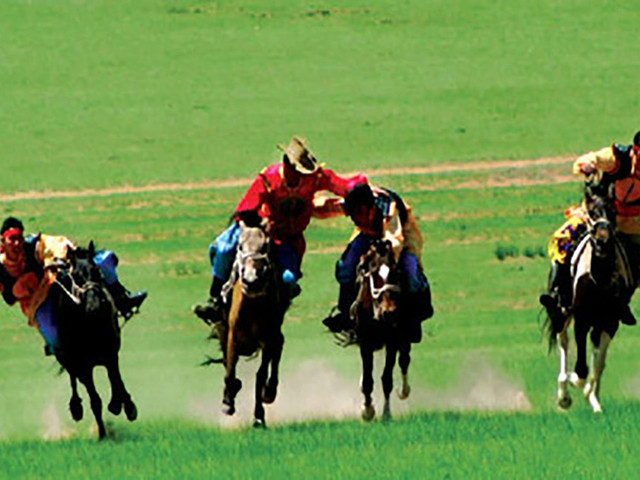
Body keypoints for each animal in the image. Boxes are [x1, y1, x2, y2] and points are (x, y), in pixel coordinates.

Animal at [51, 244, 138, 438]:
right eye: (75, 276)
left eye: (97, 271)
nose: (94, 306)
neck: (90, 324)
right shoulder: (83, 365)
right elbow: (95, 400)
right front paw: (102, 433)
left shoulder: (110, 354)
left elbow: (116, 380)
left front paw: (125, 406)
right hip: (68, 360)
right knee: (74, 380)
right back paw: (76, 407)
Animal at [212, 221, 288, 428]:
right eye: (240, 246)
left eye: (265, 246)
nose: (251, 281)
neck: (252, 308)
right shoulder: (232, 336)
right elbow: (229, 370)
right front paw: (228, 402)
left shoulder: (267, 339)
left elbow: (261, 374)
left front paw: (259, 415)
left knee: (278, 352)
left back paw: (270, 392)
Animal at [548, 182, 632, 414]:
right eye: (593, 212)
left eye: (612, 211)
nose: (603, 240)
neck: (600, 278)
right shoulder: (582, 319)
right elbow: (581, 369)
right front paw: (572, 381)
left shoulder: (610, 322)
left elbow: (598, 364)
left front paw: (592, 397)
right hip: (562, 312)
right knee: (563, 342)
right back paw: (564, 395)